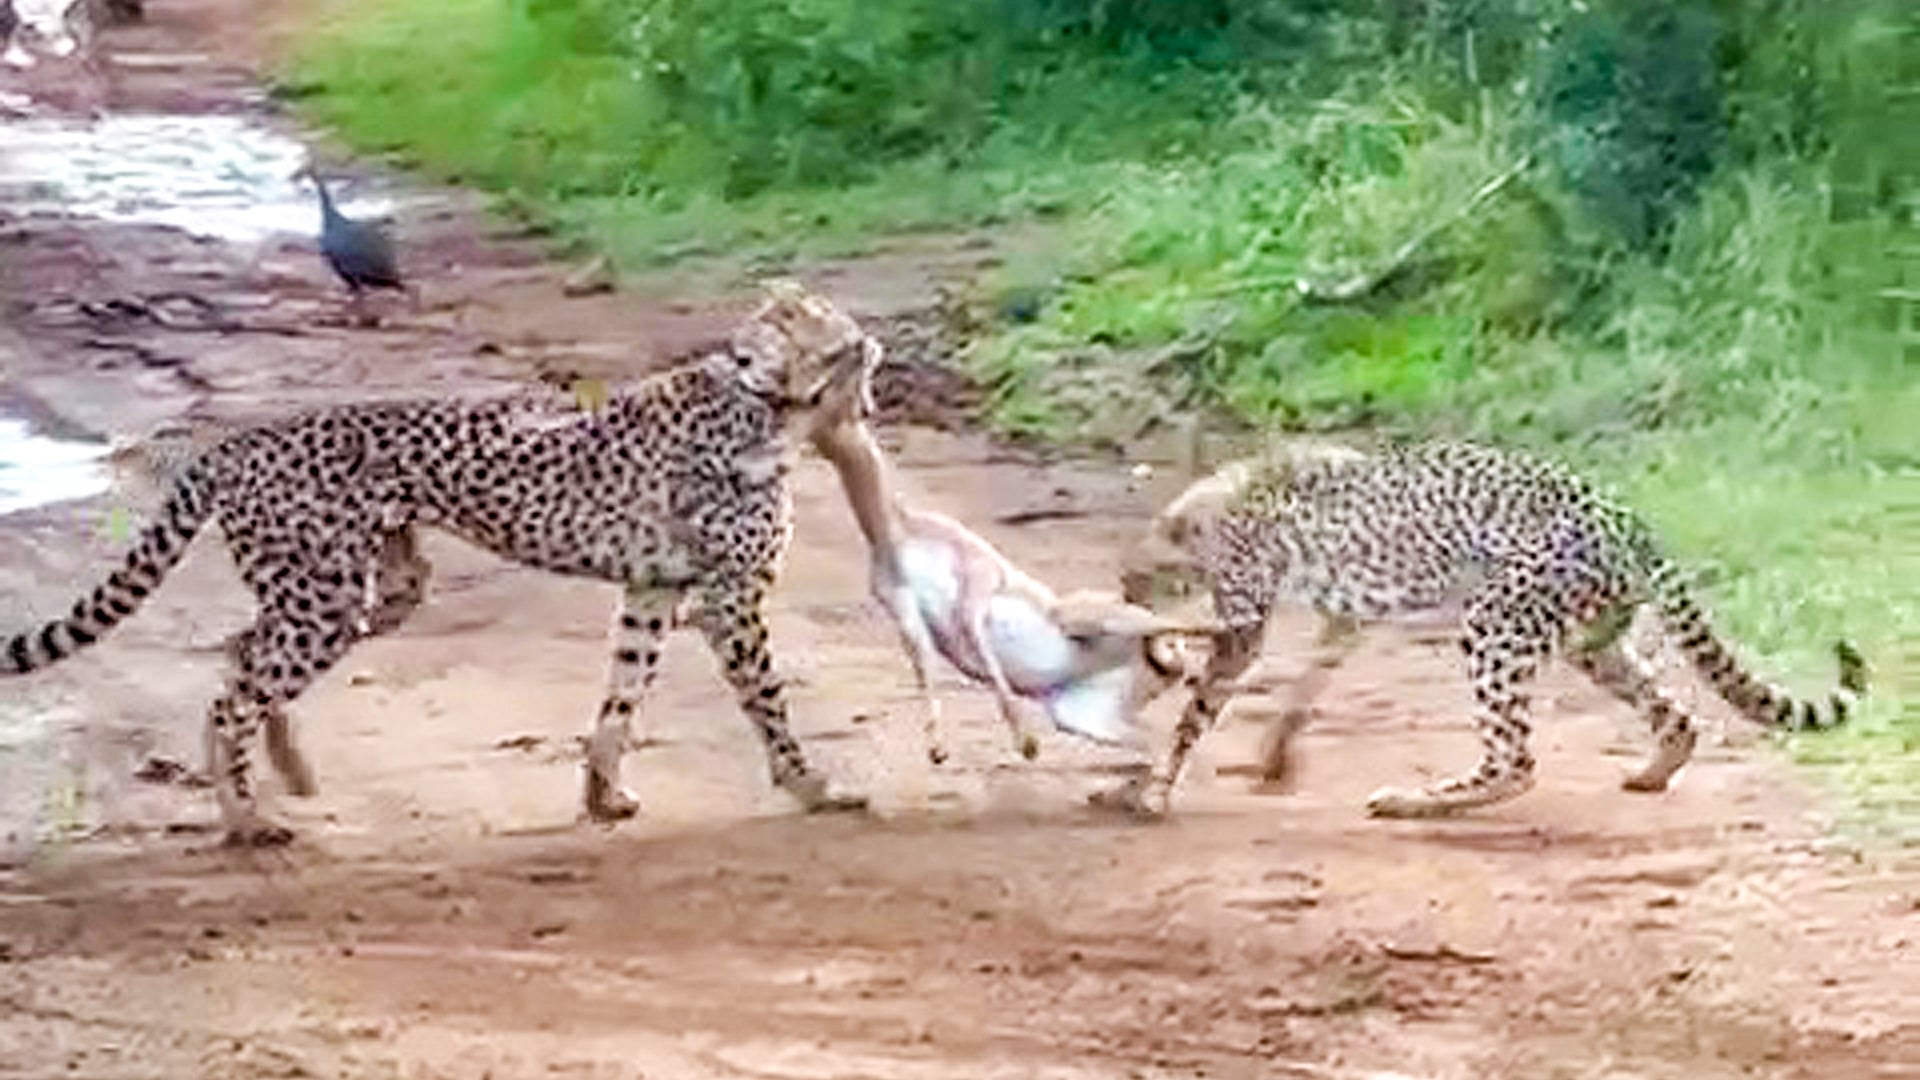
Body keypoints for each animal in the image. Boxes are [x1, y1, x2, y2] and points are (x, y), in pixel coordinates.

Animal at [2, 281, 879, 846]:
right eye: (847, 351)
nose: (874, 369)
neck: (763, 407)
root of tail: (237, 442)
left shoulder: (653, 589)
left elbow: (621, 699)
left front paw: (602, 795)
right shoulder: (729, 599)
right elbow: (768, 701)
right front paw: (816, 786)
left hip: (369, 588)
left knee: (241, 653)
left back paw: (286, 767)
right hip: (322, 601)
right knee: (232, 696)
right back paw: (248, 819)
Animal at [1112, 437, 1869, 819]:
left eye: (1135, 581)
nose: (1126, 594)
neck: (1208, 507)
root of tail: (1628, 515)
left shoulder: (1246, 620)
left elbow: (1200, 706)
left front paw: (1151, 788)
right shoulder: (1343, 617)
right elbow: (1302, 687)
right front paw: (1272, 758)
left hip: (1496, 621)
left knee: (1516, 761)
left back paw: (1417, 801)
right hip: (1589, 638)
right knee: (1675, 713)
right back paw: (1653, 773)